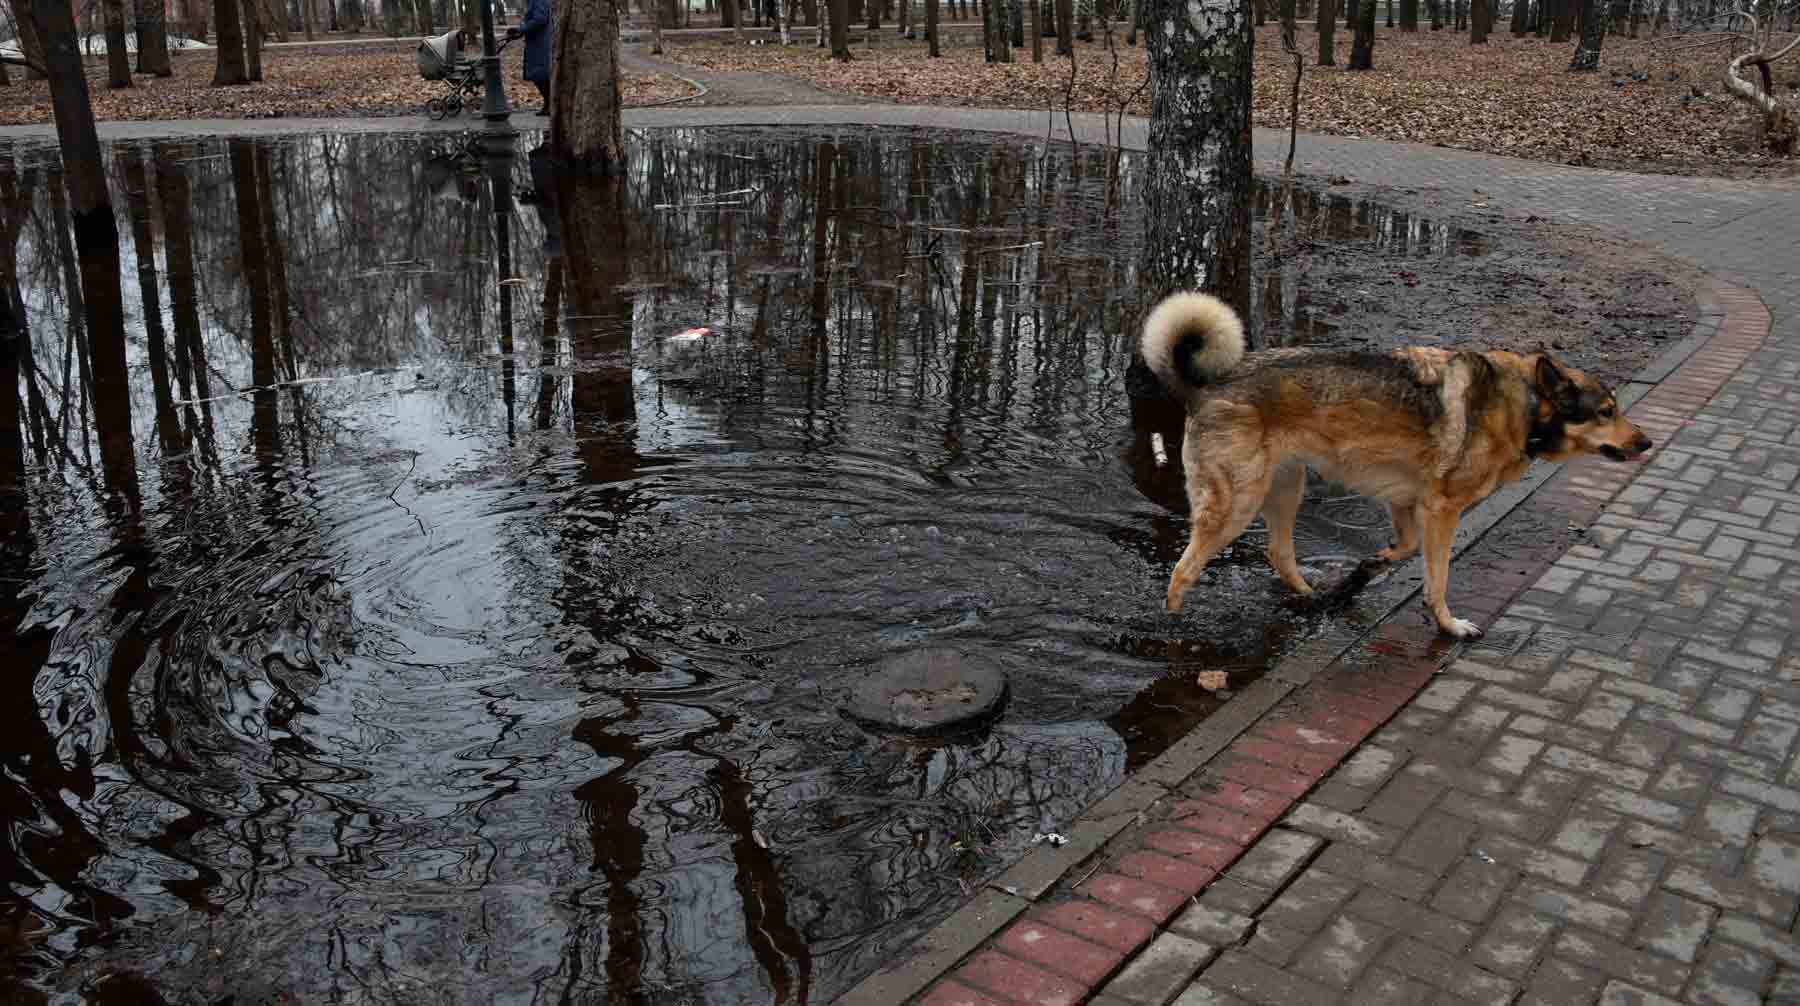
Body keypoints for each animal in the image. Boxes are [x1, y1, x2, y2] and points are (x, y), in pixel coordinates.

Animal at [1144, 291, 1648, 637]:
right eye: (1606, 412)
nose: (1646, 443)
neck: (1522, 406)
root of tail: (1204, 388)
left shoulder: (1408, 504)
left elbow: (1402, 551)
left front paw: (1364, 572)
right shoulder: (1443, 511)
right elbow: (1438, 579)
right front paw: (1448, 625)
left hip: (1286, 488)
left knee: (1279, 553)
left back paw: (1314, 596)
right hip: (1236, 507)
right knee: (1182, 573)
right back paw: (1174, 628)